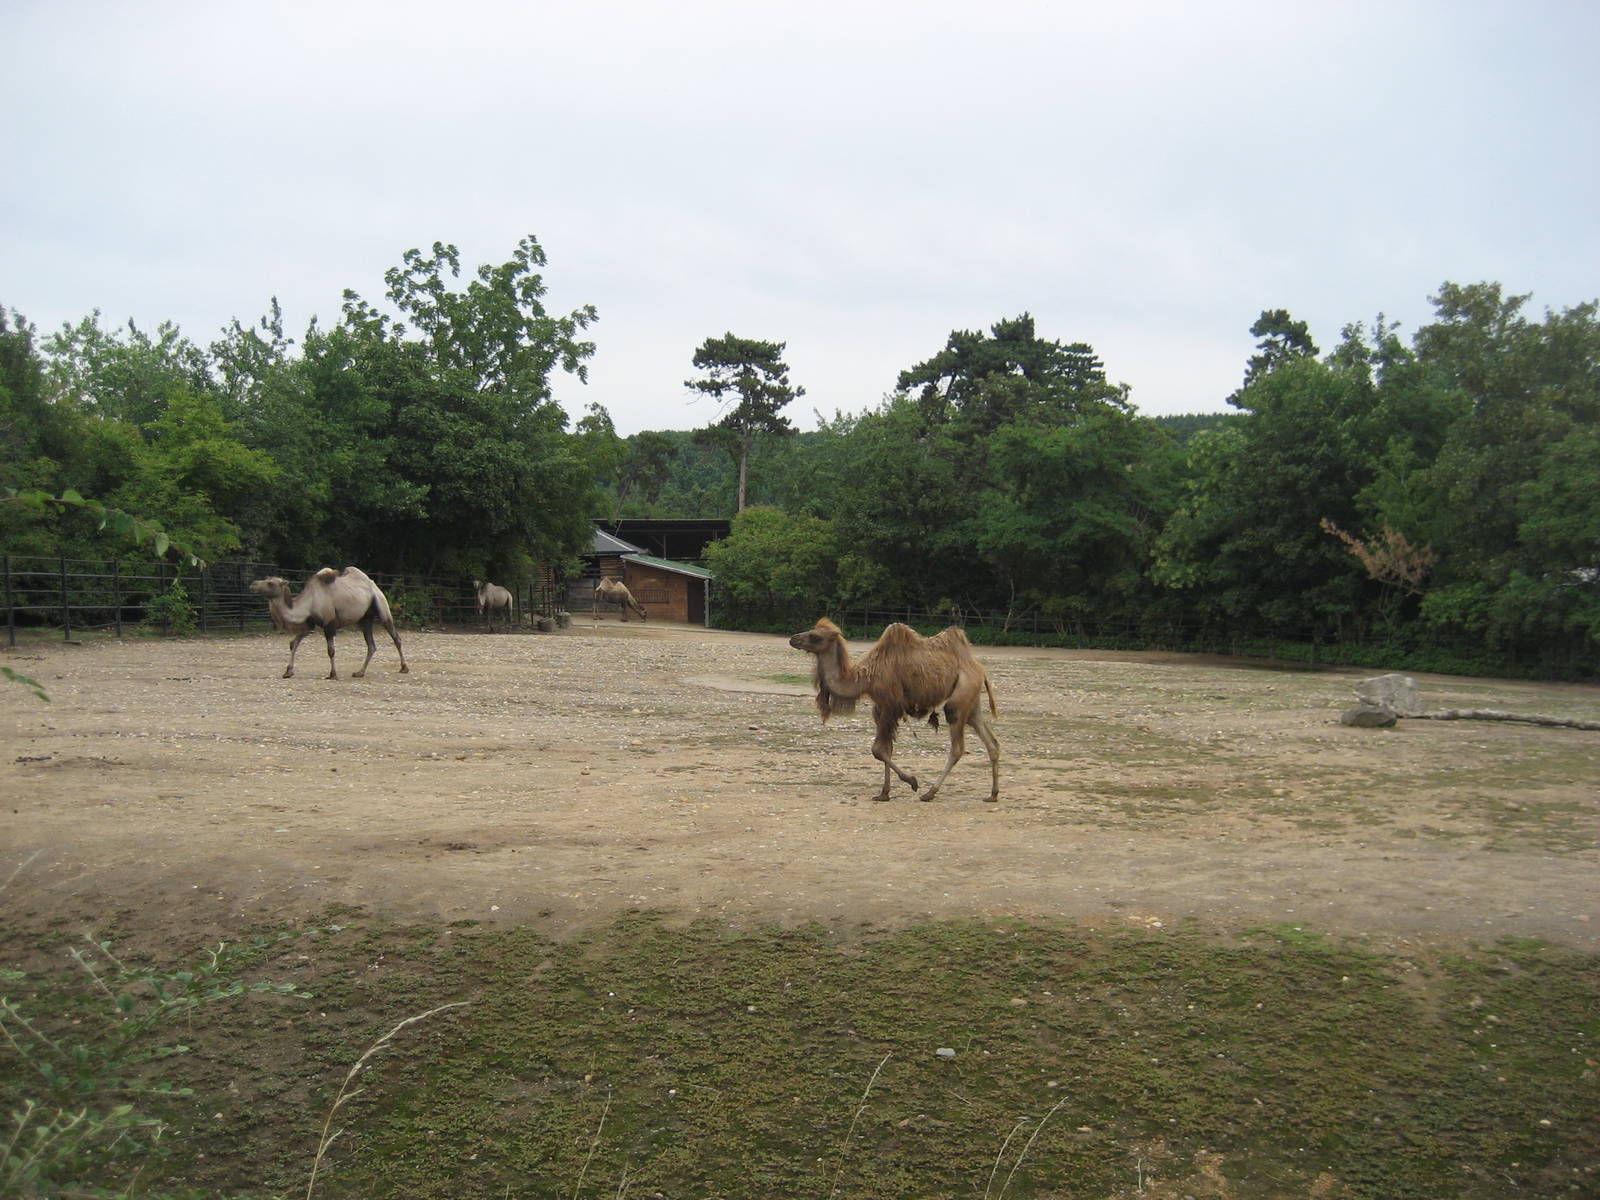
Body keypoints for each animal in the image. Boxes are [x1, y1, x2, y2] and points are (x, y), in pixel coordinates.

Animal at [249, 567, 409, 680]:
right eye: (266, 579)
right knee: (371, 645)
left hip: (381, 606)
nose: (253, 584)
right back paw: (359, 672)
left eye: (270, 583)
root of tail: (372, 583)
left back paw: (404, 668)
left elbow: (330, 651)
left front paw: (333, 674)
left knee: (396, 637)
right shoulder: (309, 624)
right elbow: (293, 643)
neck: (309, 601)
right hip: (364, 619)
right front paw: (288, 672)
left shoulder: (329, 624)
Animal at [789, 617, 999, 803]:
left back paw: (929, 793)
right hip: (971, 703)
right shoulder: (880, 708)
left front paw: (912, 782)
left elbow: (877, 750)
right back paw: (993, 795)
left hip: (959, 699)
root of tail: (980, 670)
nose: (793, 639)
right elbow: (887, 749)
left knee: (957, 746)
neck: (867, 677)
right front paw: (884, 793)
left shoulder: (891, 706)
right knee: (992, 742)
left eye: (815, 636)